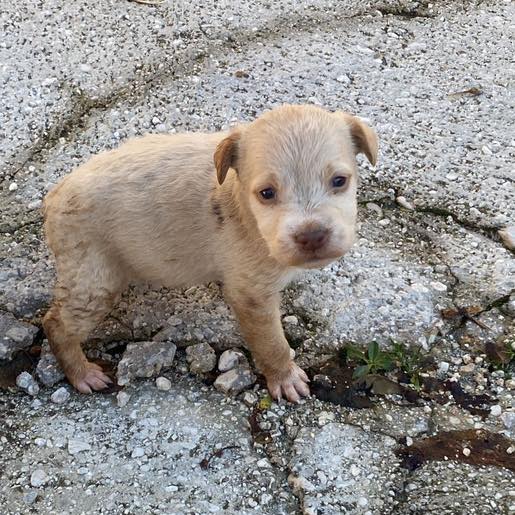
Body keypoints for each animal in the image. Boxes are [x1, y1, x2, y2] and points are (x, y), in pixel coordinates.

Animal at [42, 104, 376, 404]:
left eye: (339, 181)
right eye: (267, 193)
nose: (312, 236)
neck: (241, 204)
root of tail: (54, 195)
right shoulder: (251, 295)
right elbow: (273, 343)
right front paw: (284, 377)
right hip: (93, 280)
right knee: (56, 324)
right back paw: (81, 372)